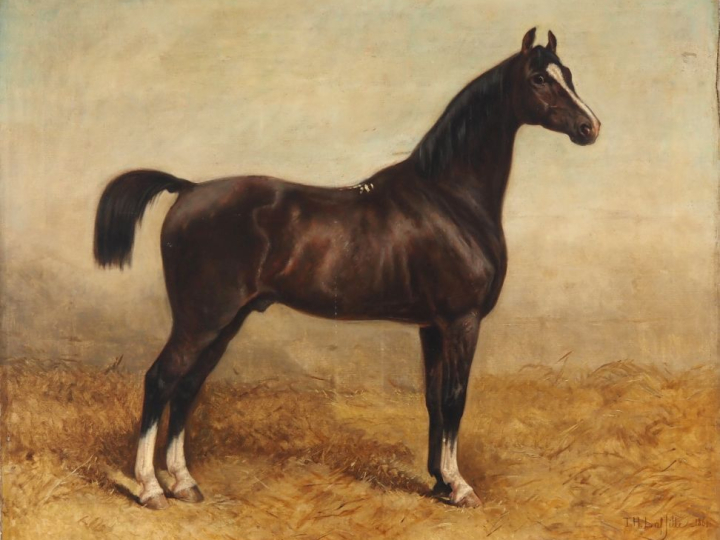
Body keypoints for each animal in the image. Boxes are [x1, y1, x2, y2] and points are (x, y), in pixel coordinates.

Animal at [94, 27, 600, 510]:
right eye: (539, 79)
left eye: (568, 74)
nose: (590, 127)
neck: (449, 199)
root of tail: (189, 189)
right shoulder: (462, 322)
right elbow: (455, 400)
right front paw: (460, 487)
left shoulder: (432, 327)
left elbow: (435, 402)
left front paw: (438, 482)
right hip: (202, 319)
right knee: (160, 381)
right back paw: (151, 489)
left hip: (224, 322)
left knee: (186, 388)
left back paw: (184, 483)